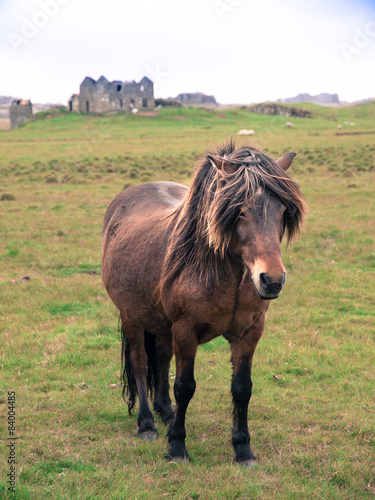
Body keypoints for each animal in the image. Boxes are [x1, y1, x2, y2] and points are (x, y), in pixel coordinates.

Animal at [101, 141, 306, 464]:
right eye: (239, 211)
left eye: (283, 211)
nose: (271, 280)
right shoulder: (185, 330)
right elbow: (185, 386)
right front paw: (177, 446)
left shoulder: (249, 333)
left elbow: (242, 388)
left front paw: (243, 449)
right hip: (131, 317)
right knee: (140, 363)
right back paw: (147, 423)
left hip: (161, 324)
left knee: (161, 359)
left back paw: (166, 411)